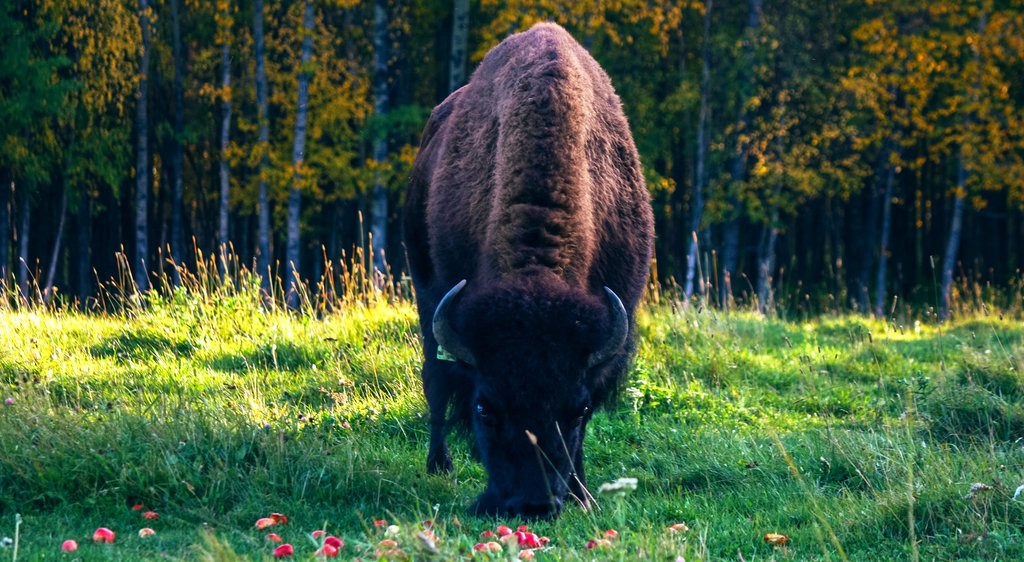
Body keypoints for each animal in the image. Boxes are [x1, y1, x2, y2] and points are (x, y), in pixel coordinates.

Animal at [401, 24, 651, 520]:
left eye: (577, 409)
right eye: (485, 407)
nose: (532, 504)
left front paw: (582, 494)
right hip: (423, 290)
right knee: (433, 378)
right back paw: (439, 463)